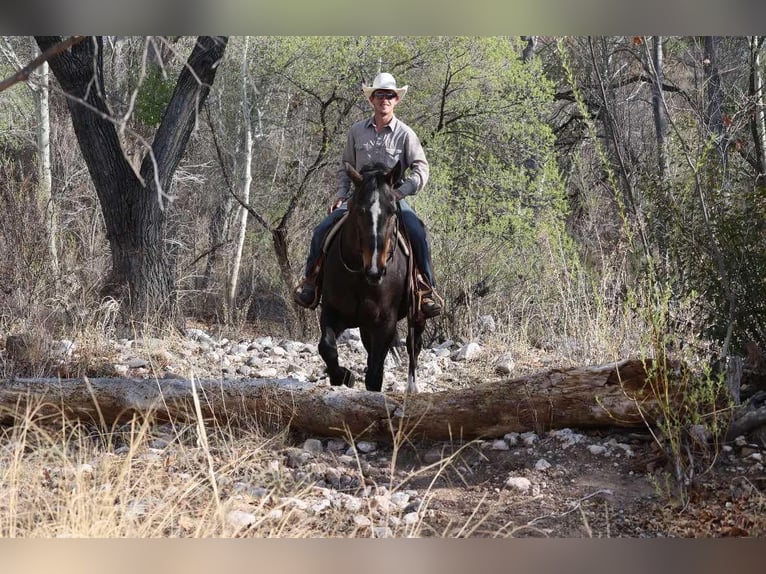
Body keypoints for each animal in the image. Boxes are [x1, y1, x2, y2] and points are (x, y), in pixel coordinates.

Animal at [318, 161, 425, 393]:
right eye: (359, 210)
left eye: (392, 210)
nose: (376, 270)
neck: (360, 277)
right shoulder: (333, 311)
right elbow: (327, 347)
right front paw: (343, 376)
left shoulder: (384, 322)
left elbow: (375, 374)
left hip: (418, 315)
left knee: (414, 344)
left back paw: (412, 387)